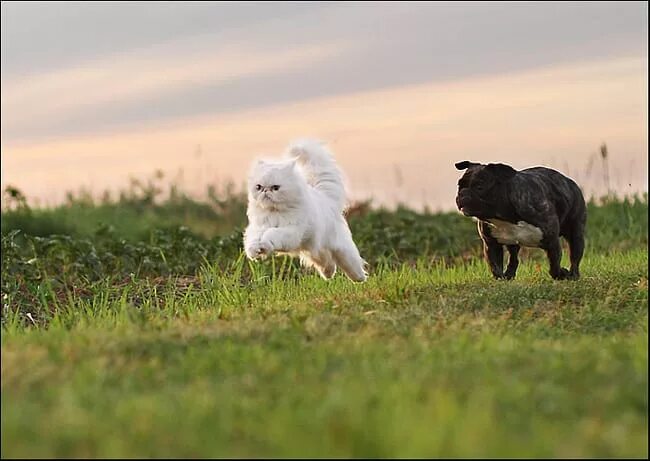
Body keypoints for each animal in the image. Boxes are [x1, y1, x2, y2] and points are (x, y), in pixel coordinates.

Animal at [243, 137, 368, 280]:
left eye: (275, 187)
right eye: (258, 187)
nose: (265, 191)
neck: (274, 212)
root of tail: (327, 199)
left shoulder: (291, 230)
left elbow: (271, 234)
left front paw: (264, 244)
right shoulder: (258, 227)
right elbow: (253, 240)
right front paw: (255, 251)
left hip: (339, 249)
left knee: (351, 263)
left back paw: (360, 278)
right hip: (315, 251)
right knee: (327, 262)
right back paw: (329, 275)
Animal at [454, 161, 584, 280]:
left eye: (480, 187)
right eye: (459, 186)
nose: (462, 193)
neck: (504, 217)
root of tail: (569, 181)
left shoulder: (552, 241)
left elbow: (554, 266)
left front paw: (562, 273)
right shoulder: (491, 244)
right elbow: (495, 267)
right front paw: (501, 278)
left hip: (576, 233)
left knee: (575, 256)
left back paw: (574, 275)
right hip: (512, 242)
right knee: (513, 258)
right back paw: (509, 274)